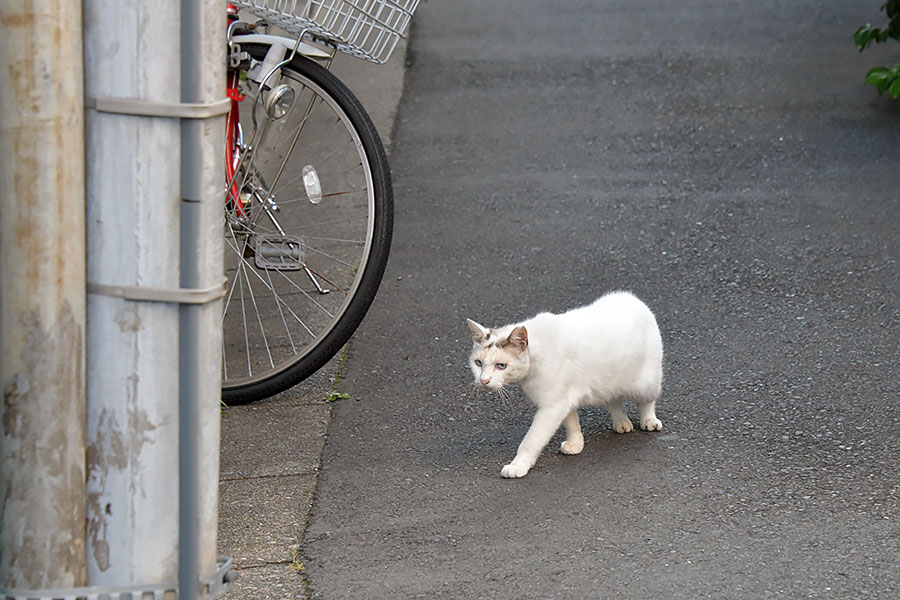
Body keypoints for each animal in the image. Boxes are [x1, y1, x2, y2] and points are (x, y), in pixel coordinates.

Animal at [468, 290, 664, 478]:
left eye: (501, 366)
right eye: (478, 363)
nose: (483, 380)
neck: (537, 356)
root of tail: (631, 297)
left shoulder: (552, 406)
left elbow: (531, 441)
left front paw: (518, 466)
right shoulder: (563, 400)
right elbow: (571, 422)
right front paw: (576, 443)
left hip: (647, 383)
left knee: (646, 402)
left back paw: (649, 421)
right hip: (607, 382)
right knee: (613, 399)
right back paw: (621, 422)